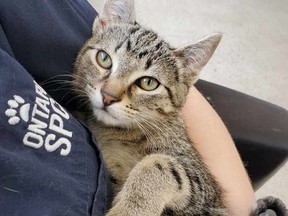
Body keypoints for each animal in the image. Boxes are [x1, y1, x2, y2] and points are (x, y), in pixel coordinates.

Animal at [73, 0, 226, 215]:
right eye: (104, 59)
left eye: (148, 83)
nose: (108, 96)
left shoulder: (203, 191)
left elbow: (160, 163)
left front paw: (130, 209)